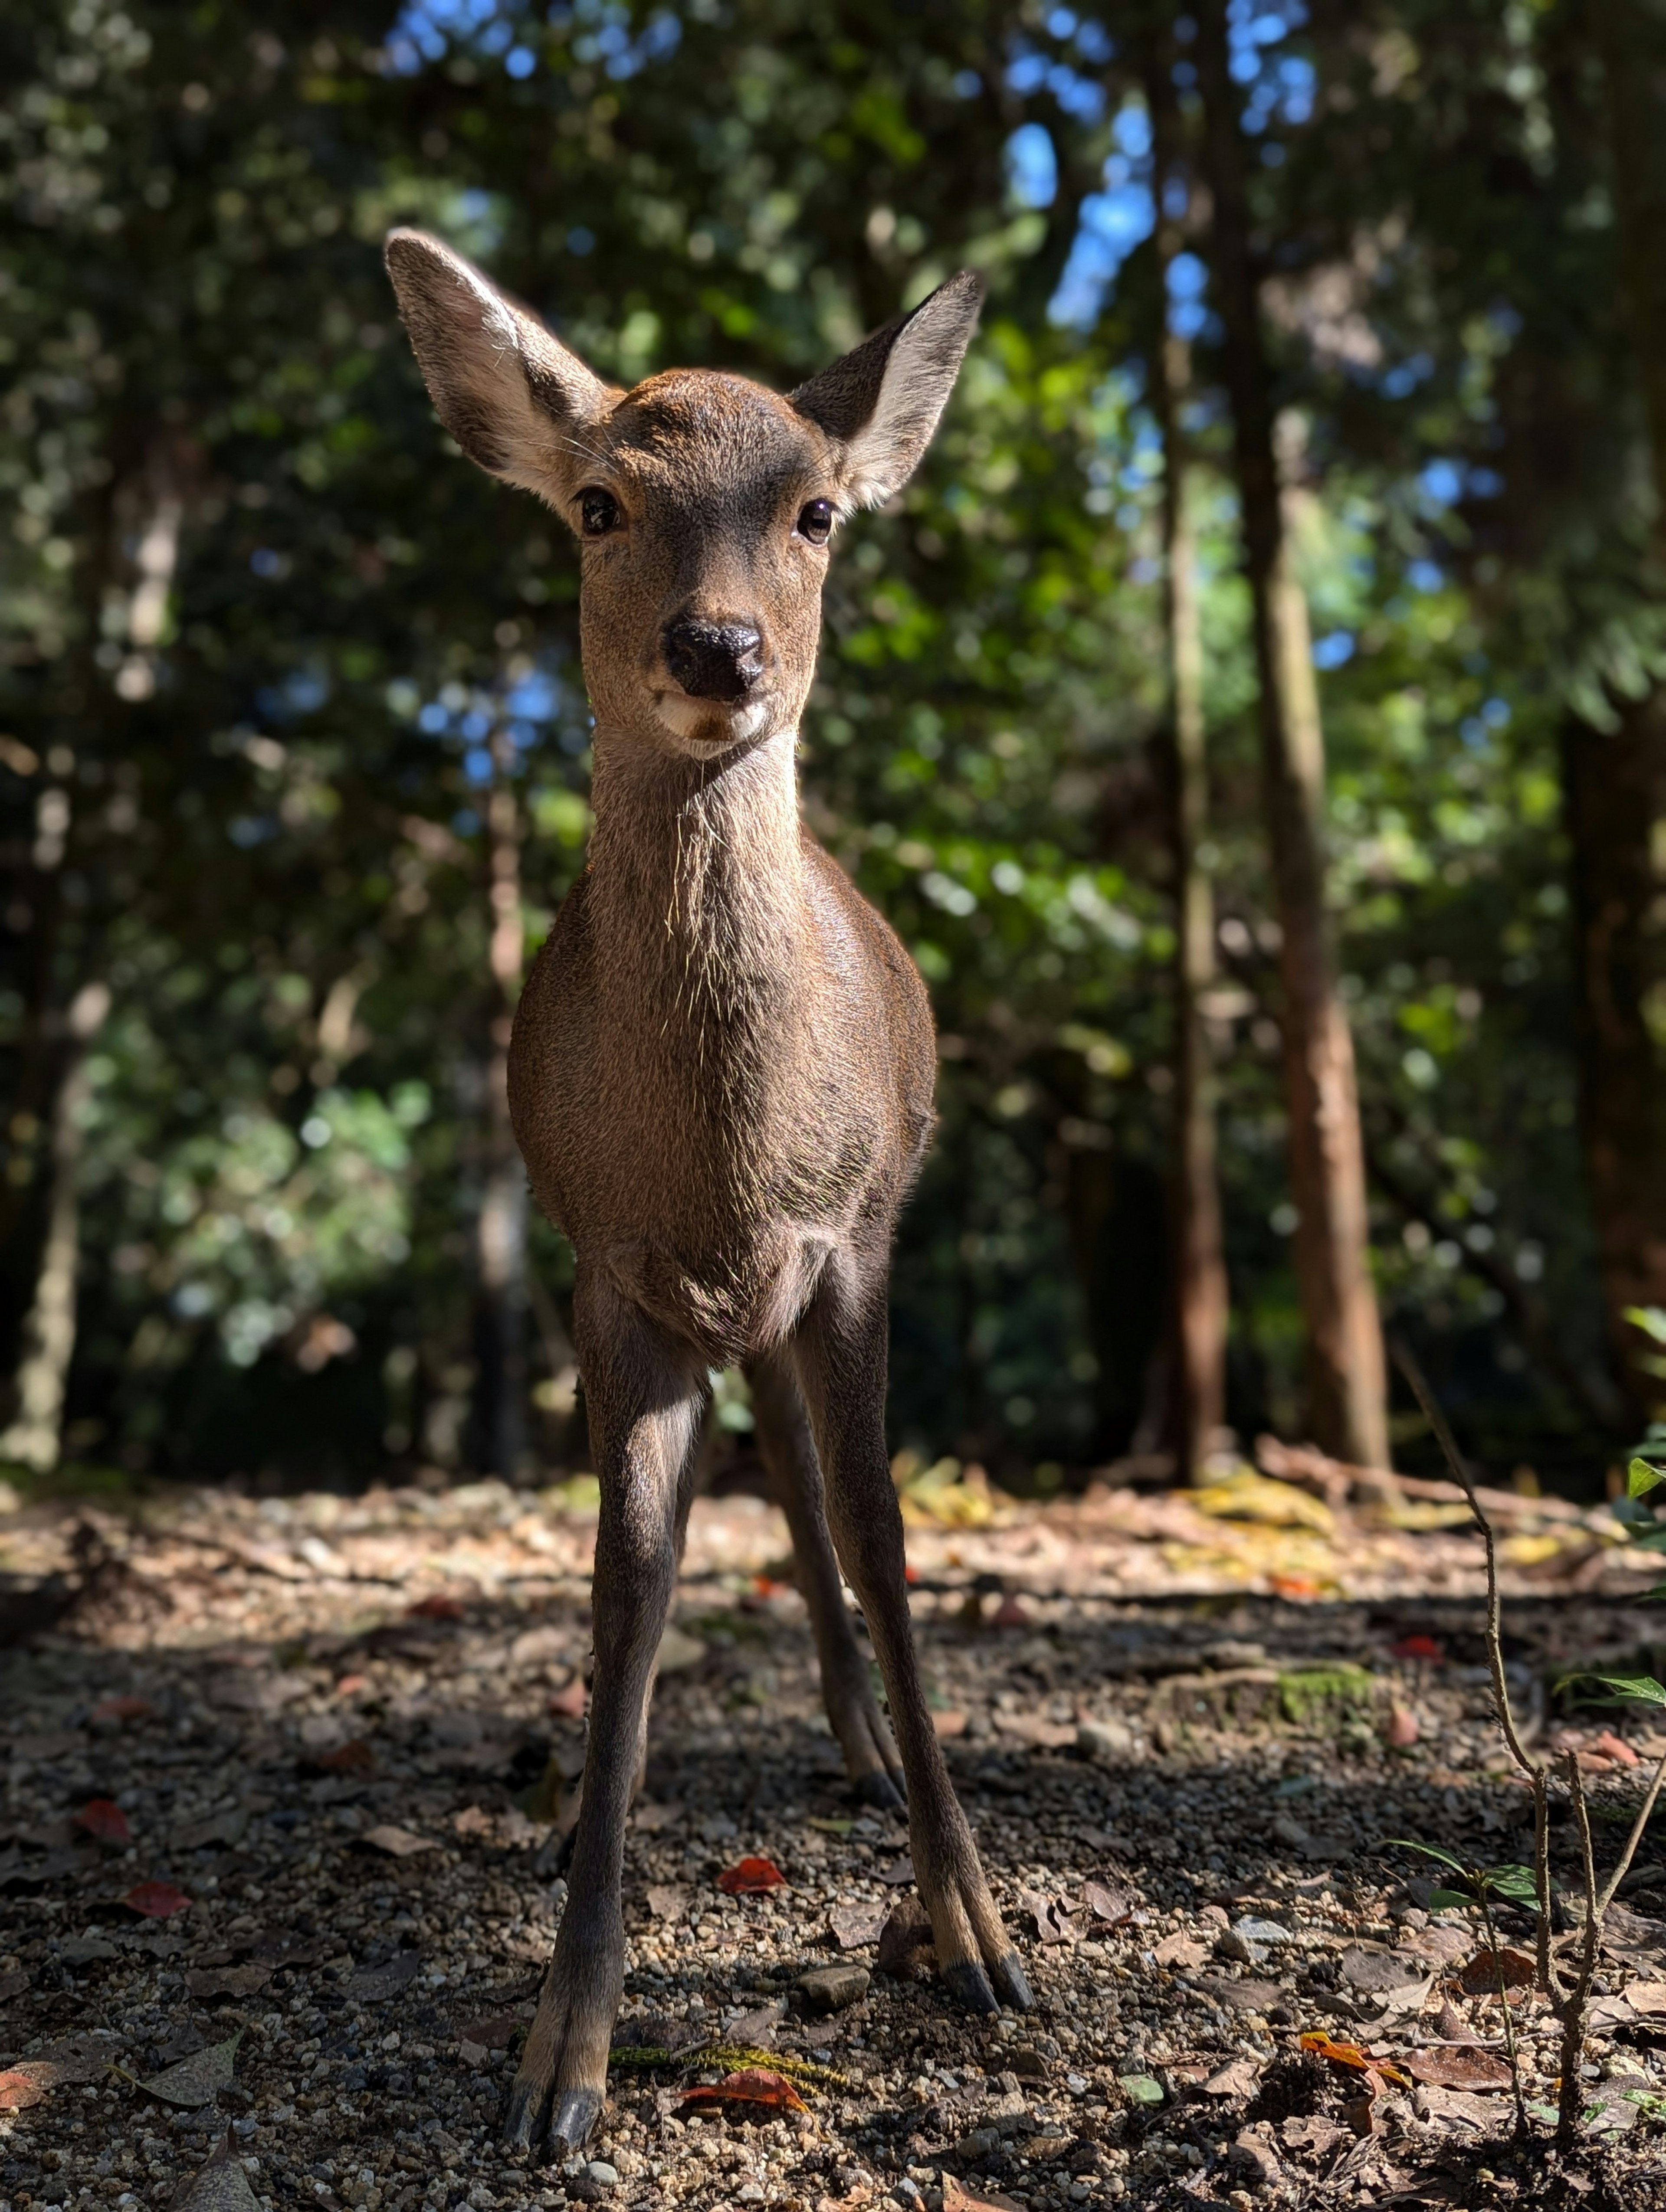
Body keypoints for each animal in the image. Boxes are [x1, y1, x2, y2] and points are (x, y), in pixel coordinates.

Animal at [387, 233, 1026, 2150]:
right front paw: (561, 2053)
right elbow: (631, 1581)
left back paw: (875, 1760)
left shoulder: (855, 1242)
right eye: (599, 502)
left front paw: (973, 1935)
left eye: (816, 510)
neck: (731, 1160)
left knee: (821, 1493)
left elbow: (888, 1537)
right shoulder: (608, 1266)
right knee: (763, 1496)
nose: (719, 645)